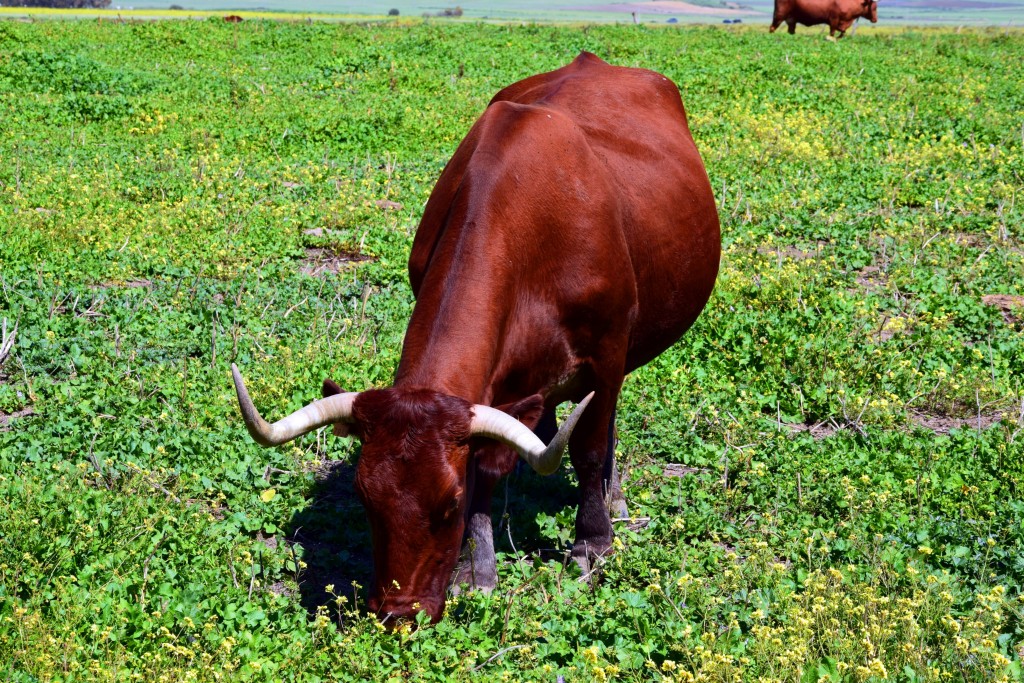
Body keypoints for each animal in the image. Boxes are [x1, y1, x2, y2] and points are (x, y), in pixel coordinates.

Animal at [232, 53, 720, 626]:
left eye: (449, 503)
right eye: (366, 499)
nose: (397, 613)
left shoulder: (606, 350)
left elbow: (588, 447)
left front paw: (591, 544)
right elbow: (490, 465)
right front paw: (478, 568)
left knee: (604, 423)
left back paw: (612, 497)